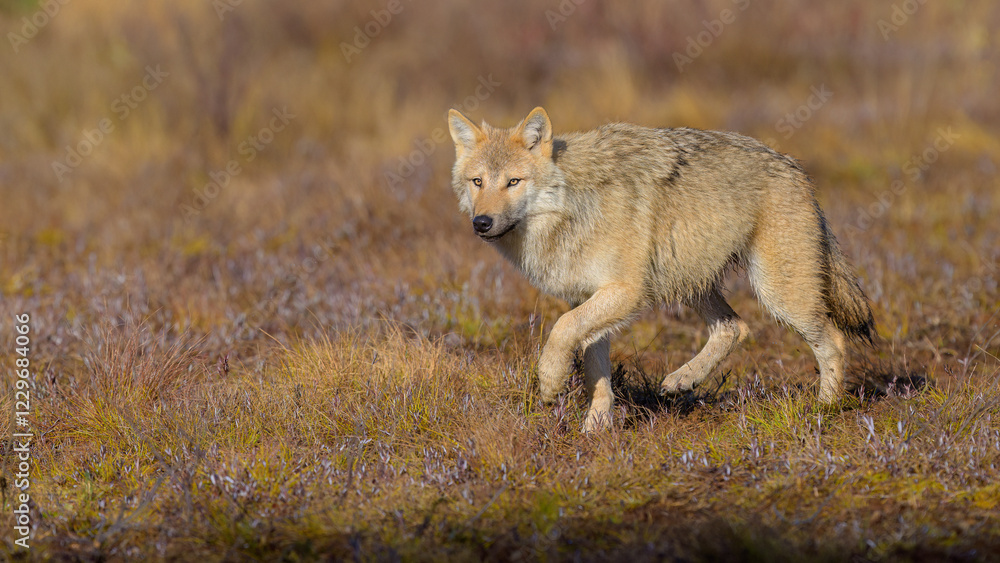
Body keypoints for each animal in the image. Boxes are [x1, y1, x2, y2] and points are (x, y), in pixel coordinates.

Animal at [448, 107, 874, 432]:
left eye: (513, 182)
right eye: (478, 181)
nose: (482, 223)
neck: (572, 208)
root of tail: (795, 168)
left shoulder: (626, 292)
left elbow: (561, 330)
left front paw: (550, 382)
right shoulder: (591, 298)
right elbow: (596, 373)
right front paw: (595, 431)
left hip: (778, 294)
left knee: (833, 340)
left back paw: (824, 409)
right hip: (694, 284)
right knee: (735, 327)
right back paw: (682, 379)